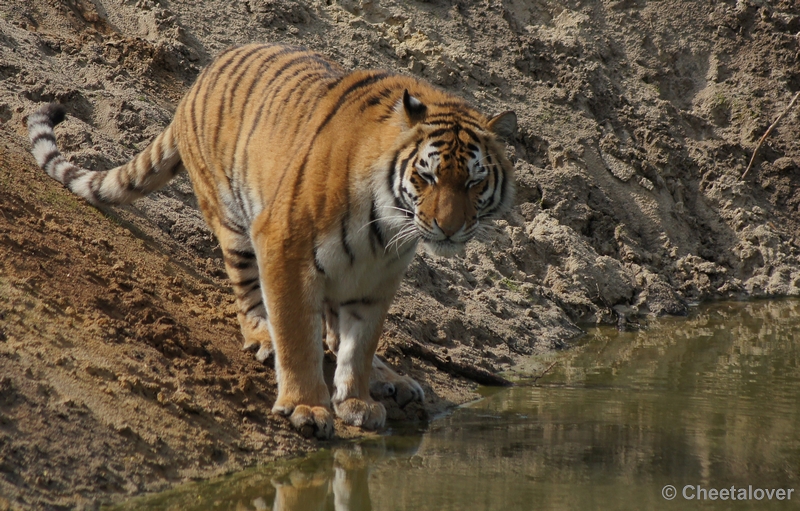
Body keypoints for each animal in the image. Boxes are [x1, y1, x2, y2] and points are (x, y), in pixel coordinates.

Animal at [26, 43, 520, 440]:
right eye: (427, 175)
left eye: (475, 181)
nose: (449, 228)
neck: (386, 225)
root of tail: (198, 81)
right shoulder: (285, 248)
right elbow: (298, 337)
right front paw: (306, 407)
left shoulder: (378, 279)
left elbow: (359, 345)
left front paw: (356, 400)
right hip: (235, 223)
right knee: (251, 298)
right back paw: (263, 337)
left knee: (335, 331)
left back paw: (392, 380)